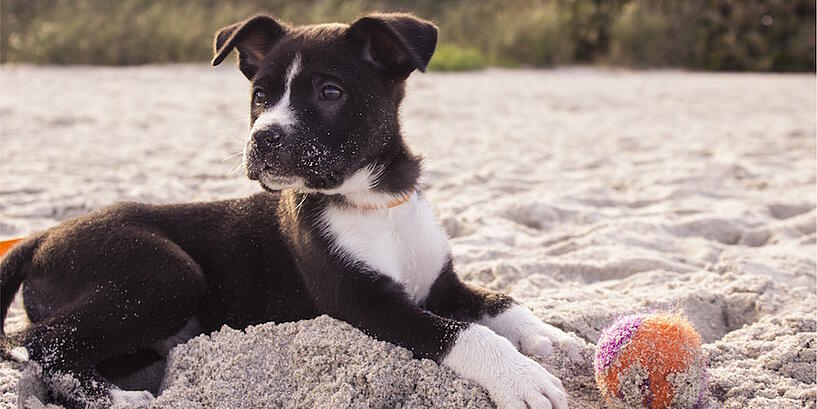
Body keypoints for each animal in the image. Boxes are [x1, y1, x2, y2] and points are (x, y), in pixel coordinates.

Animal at [0, 12, 572, 408]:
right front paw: (522, 378)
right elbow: (462, 333)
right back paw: (122, 400)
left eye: (330, 91)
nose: (262, 138)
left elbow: (499, 301)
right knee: (38, 344)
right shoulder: (364, 304)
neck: (373, 202)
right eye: (259, 95)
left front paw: (549, 335)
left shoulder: (440, 284)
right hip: (167, 272)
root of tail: (42, 237)